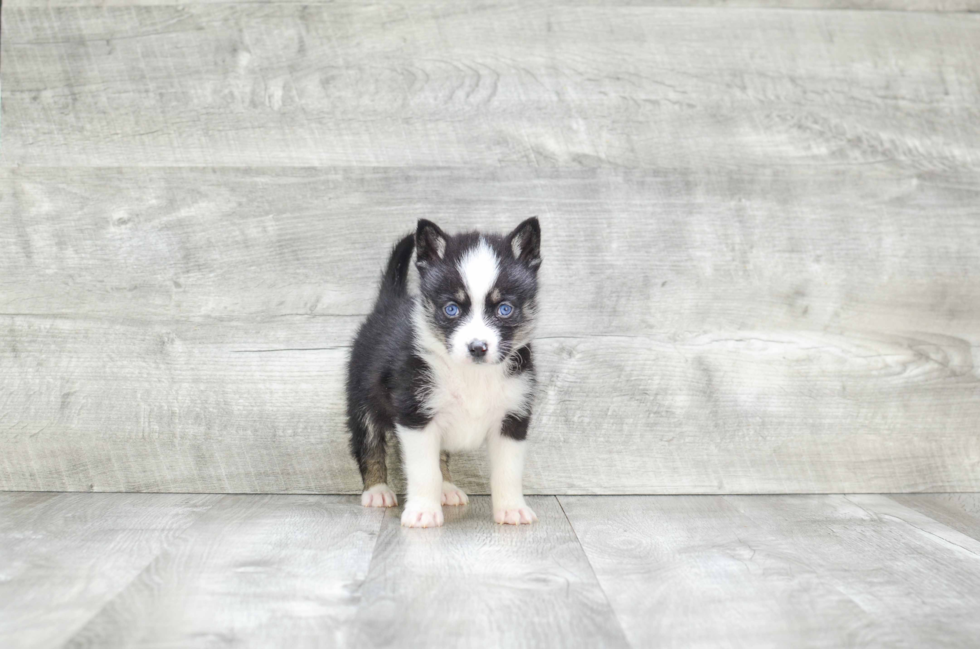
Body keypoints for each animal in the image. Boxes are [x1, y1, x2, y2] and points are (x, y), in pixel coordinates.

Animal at [346, 218, 544, 528]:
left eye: (505, 309)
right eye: (451, 309)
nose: (478, 347)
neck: (472, 375)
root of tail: (389, 302)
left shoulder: (513, 417)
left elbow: (508, 471)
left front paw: (512, 509)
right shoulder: (416, 416)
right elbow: (424, 471)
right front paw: (423, 512)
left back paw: (447, 489)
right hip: (361, 398)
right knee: (368, 444)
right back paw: (377, 490)